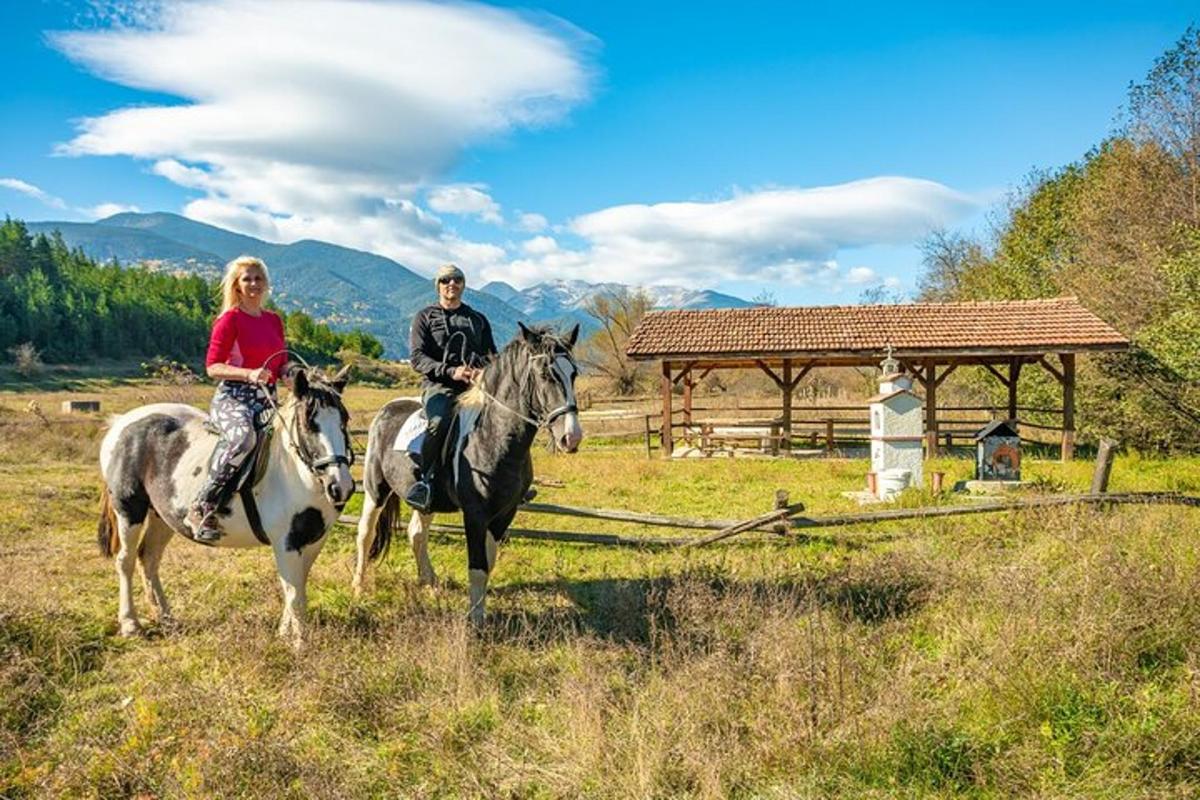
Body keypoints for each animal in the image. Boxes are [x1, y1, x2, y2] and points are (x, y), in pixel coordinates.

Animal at [97, 369, 350, 642]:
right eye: (308, 423)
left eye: (344, 419)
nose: (341, 486)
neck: (294, 471)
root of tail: (121, 422)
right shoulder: (287, 542)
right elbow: (294, 595)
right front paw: (299, 644)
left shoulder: (313, 541)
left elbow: (297, 585)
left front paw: (284, 633)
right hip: (129, 510)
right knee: (126, 560)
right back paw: (130, 623)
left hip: (162, 516)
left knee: (149, 557)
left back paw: (167, 618)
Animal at [350, 326, 585, 623]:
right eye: (545, 373)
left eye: (573, 374)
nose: (571, 437)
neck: (492, 436)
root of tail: (387, 409)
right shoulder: (475, 514)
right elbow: (477, 566)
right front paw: (475, 620)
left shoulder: (504, 513)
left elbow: (489, 561)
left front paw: (480, 609)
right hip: (376, 489)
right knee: (365, 533)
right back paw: (359, 587)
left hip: (426, 501)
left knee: (417, 533)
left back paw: (431, 585)